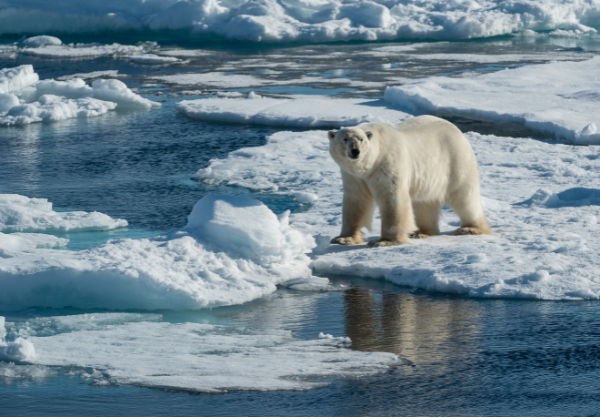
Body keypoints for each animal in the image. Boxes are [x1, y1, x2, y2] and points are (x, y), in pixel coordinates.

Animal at [328, 115, 492, 246]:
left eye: (361, 140)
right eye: (345, 139)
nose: (355, 151)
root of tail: (456, 130)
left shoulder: (387, 163)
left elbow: (392, 199)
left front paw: (384, 241)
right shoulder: (353, 176)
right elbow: (356, 200)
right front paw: (344, 238)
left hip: (456, 161)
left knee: (464, 197)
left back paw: (470, 228)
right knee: (425, 202)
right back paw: (421, 232)